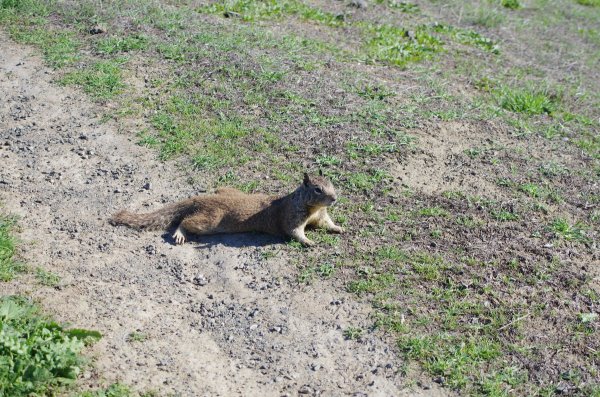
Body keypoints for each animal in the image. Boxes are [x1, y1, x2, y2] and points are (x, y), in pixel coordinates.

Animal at [108, 172, 342, 244]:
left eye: (331, 183)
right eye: (318, 189)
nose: (334, 198)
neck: (312, 208)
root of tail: (200, 200)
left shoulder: (321, 216)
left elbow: (327, 223)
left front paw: (339, 228)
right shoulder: (292, 217)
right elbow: (294, 232)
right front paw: (309, 241)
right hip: (209, 222)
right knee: (185, 221)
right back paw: (179, 234)